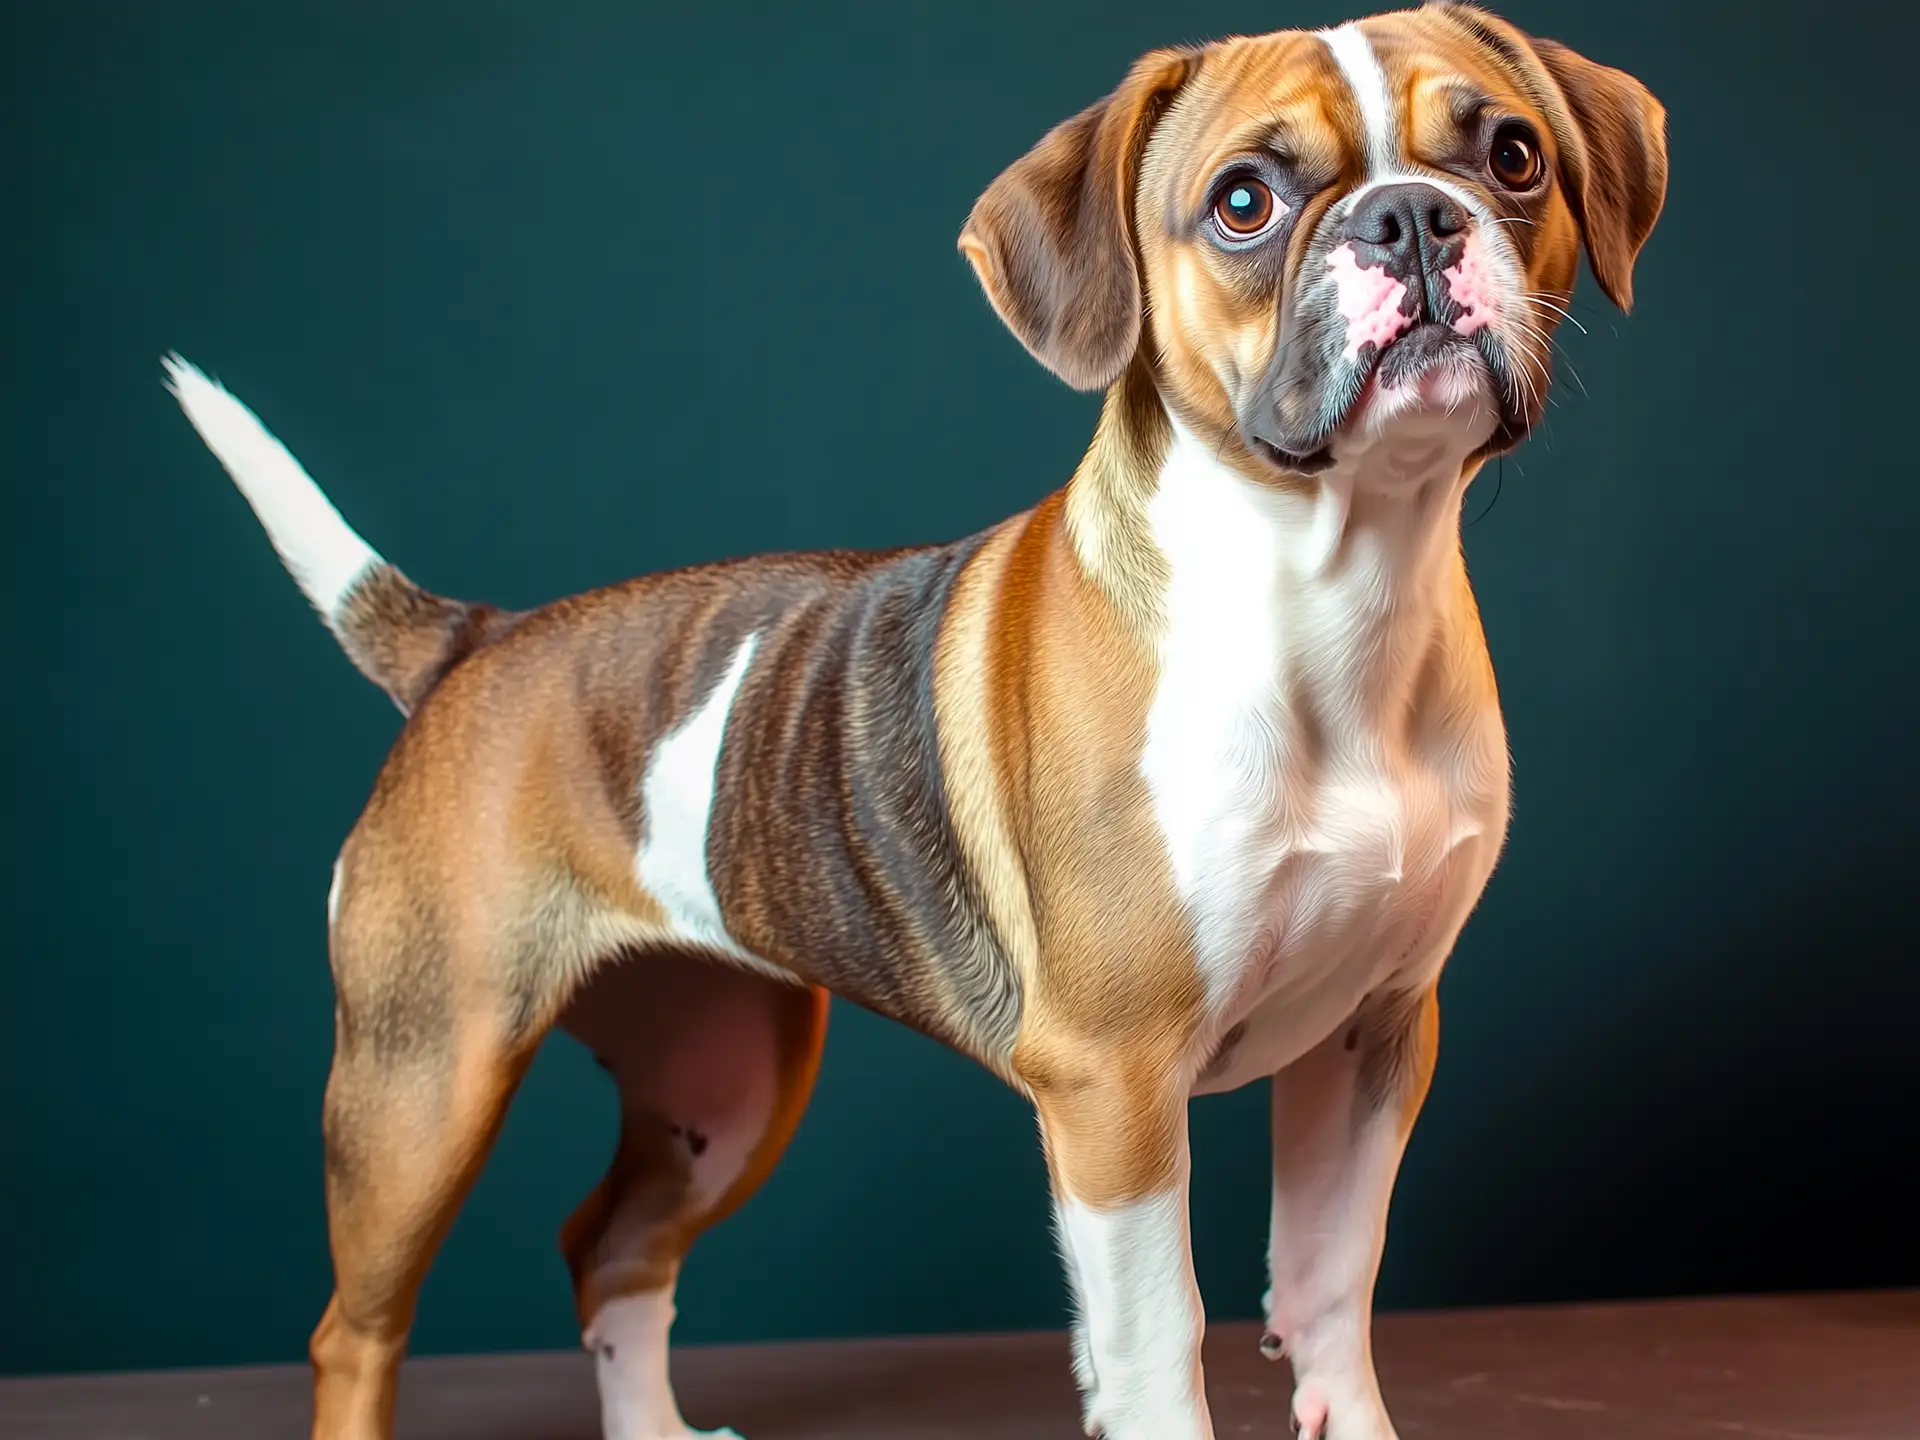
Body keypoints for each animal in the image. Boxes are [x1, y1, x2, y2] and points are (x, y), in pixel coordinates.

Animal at [165, 5, 1666, 1436]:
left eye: (1512, 156)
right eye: (1245, 200)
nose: (1411, 216)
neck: (1330, 587)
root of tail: (477, 641)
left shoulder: (1378, 1038)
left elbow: (1330, 1296)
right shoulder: (1115, 1093)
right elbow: (1155, 1351)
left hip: (723, 1088)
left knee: (614, 1255)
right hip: (423, 1089)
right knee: (356, 1334)